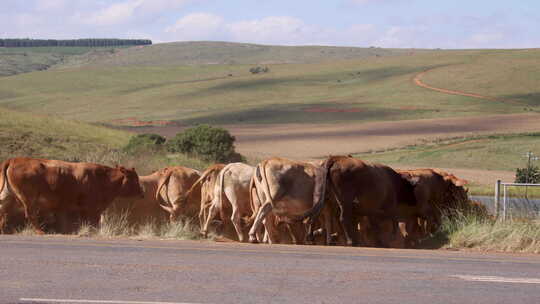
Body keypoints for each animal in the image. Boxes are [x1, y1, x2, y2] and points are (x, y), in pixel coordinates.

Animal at [0, 158, 143, 234]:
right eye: (134, 179)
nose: (142, 191)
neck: (102, 178)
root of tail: (14, 160)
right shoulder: (91, 209)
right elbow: (92, 222)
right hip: (28, 199)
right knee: (30, 215)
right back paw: (40, 231)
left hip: (8, 197)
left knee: (3, 211)